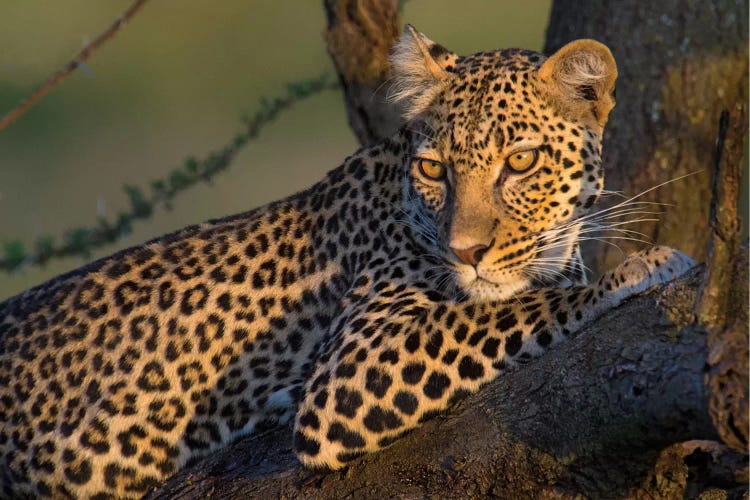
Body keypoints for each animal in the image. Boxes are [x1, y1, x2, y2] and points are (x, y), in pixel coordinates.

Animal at [0, 25, 696, 498]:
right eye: (434, 170)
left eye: (520, 162)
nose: (465, 253)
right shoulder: (352, 366)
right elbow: (506, 310)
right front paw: (636, 269)